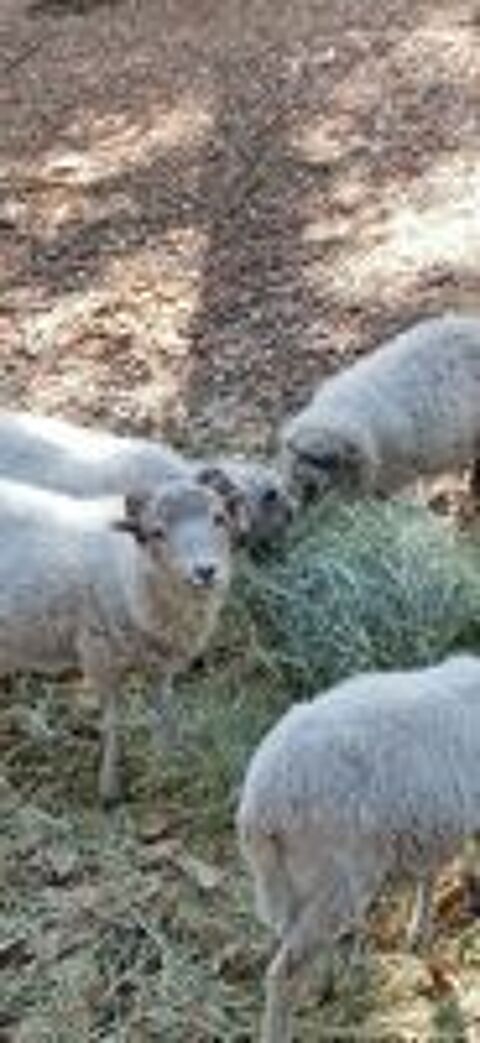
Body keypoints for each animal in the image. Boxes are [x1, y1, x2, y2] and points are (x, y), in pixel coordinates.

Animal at [0, 475, 234, 804]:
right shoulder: (97, 651)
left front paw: (168, 762)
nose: (205, 571)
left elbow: (164, 711)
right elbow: (113, 721)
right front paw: (109, 789)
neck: (129, 568)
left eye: (219, 518)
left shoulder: (160, 661)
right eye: (156, 532)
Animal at [237, 655, 480, 1043]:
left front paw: (419, 934)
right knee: (285, 972)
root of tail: (262, 806)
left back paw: (334, 982)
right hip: (336, 875)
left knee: (294, 943)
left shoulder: (434, 824)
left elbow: (430, 874)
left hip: (296, 881)